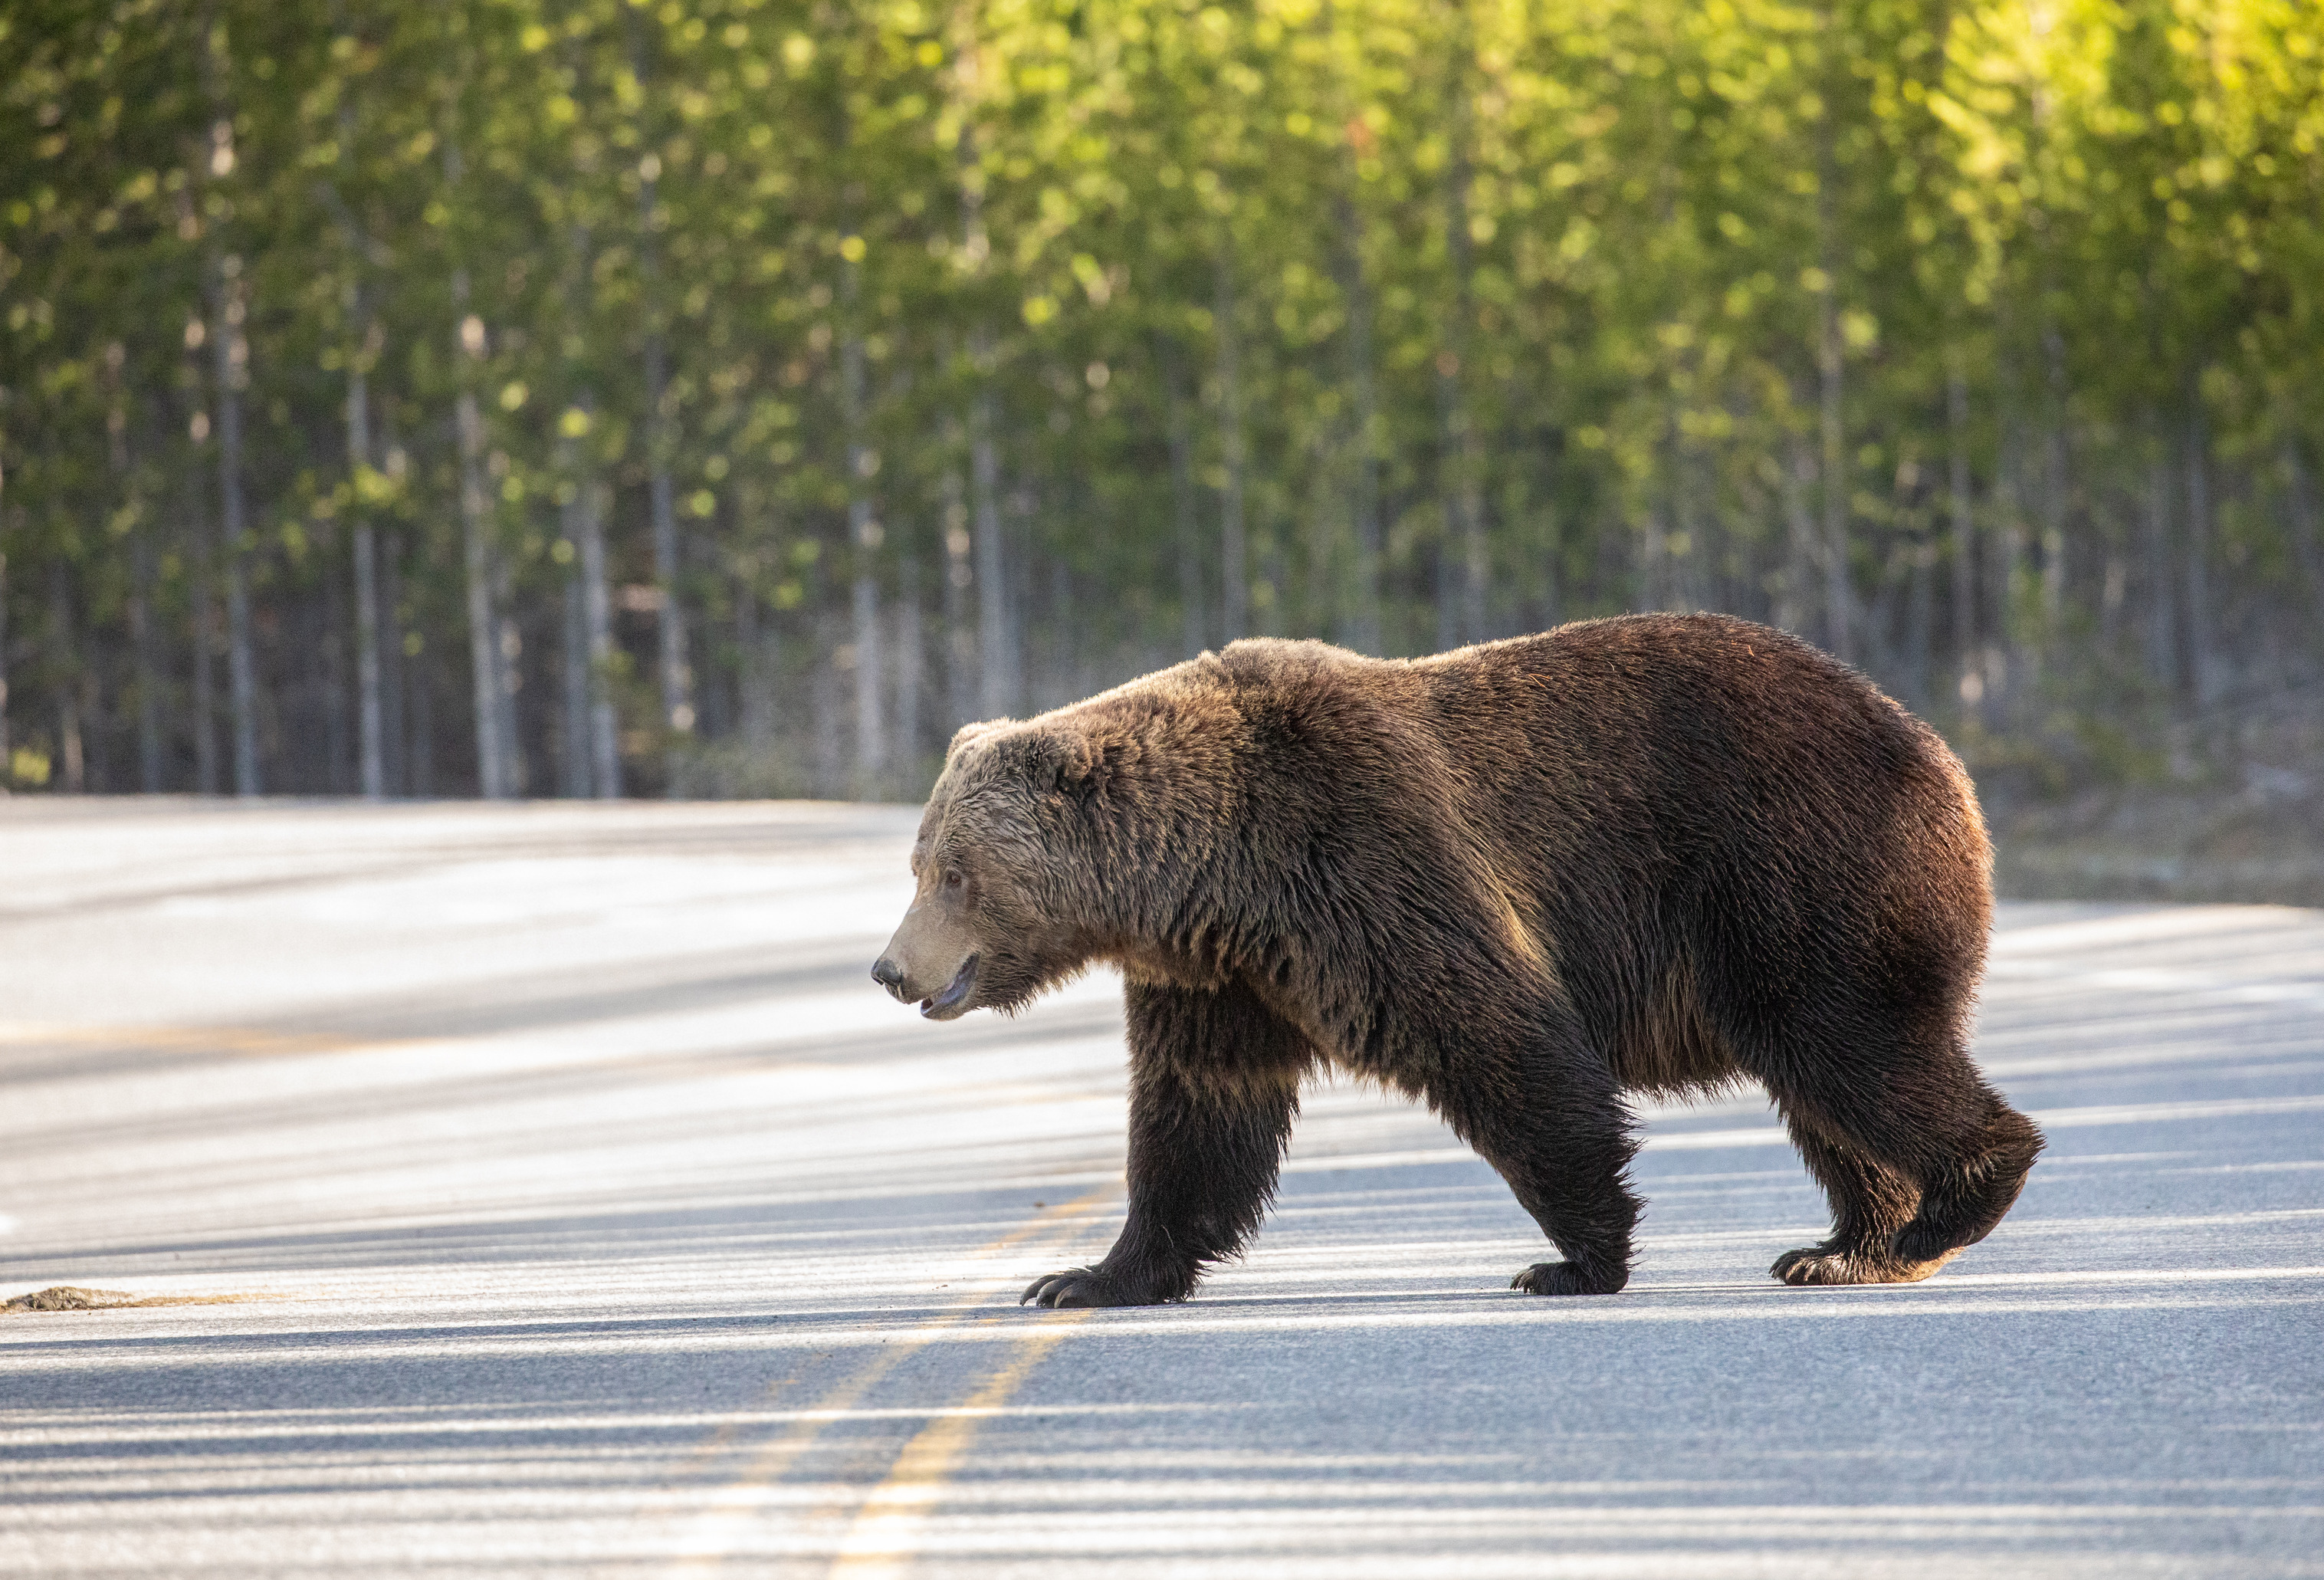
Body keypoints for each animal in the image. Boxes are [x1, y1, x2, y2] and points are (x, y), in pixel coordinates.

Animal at [871, 612, 2043, 1306]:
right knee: (1827, 1085)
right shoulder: (1221, 976)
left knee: (1851, 1048)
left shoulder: (1362, 853)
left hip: (1796, 872)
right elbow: (1197, 1116)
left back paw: (1954, 1196)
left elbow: (1498, 1039)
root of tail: (1941, 754)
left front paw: (1572, 1259)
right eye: (920, 860)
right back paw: (1850, 1245)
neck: (1213, 871)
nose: (891, 968)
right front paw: (1088, 1274)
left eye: (954, 874)